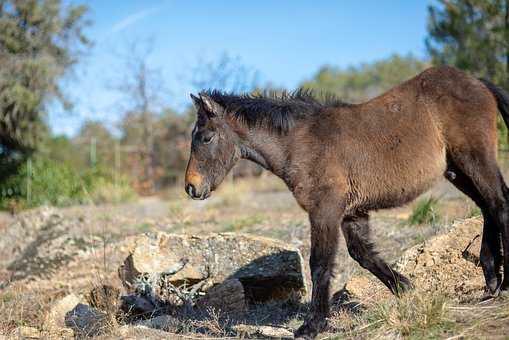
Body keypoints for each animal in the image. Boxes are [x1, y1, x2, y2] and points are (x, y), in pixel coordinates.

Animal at [183, 65, 508, 338]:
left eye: (206, 137)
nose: (191, 187)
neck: (300, 142)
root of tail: (477, 81)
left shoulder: (324, 210)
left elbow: (320, 263)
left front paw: (312, 325)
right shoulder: (352, 213)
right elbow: (363, 254)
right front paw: (408, 290)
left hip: (474, 158)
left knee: (500, 203)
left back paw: (502, 284)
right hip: (457, 170)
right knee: (488, 206)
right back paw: (491, 281)